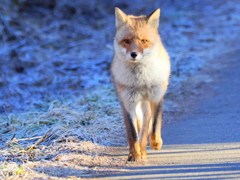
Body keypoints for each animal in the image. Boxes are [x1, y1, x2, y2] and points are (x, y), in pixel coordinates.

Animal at [111, 7, 171, 161]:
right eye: (126, 41)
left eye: (143, 41)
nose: (134, 54)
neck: (141, 81)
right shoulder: (129, 103)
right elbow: (132, 133)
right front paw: (134, 154)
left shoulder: (156, 97)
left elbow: (154, 125)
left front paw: (155, 143)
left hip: (146, 105)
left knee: (145, 128)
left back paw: (144, 150)